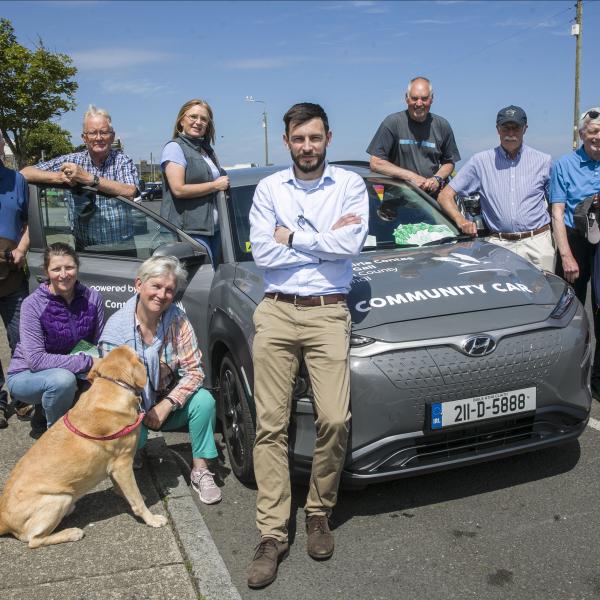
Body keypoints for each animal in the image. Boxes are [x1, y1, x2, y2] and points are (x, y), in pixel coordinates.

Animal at [0, 342, 168, 548]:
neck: (112, 386)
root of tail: (4, 520)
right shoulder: (122, 464)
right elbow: (136, 499)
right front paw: (151, 519)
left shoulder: (114, 467)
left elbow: (123, 489)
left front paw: (121, 493)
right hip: (58, 499)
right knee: (34, 540)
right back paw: (72, 533)